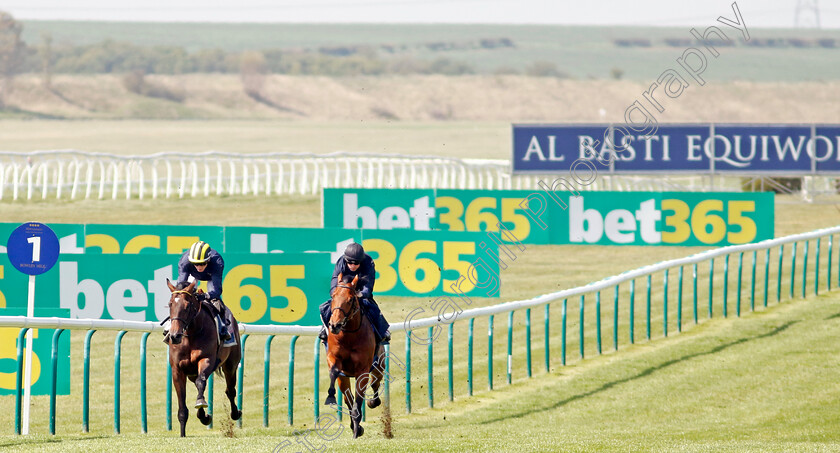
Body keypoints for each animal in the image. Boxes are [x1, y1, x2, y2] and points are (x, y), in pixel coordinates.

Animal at [166, 278, 241, 436]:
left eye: (187, 306)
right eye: (170, 304)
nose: (175, 336)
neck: (191, 335)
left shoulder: (206, 360)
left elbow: (201, 383)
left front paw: (201, 402)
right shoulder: (177, 370)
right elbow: (183, 408)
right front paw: (183, 434)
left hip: (230, 365)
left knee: (230, 390)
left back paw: (235, 413)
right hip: (191, 373)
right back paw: (204, 416)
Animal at [324, 274, 386, 436]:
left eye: (351, 299)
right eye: (333, 296)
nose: (335, 325)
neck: (349, 337)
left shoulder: (362, 370)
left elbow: (359, 399)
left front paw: (357, 428)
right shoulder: (335, 360)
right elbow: (334, 372)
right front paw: (330, 396)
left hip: (379, 365)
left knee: (375, 383)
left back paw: (373, 402)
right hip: (345, 378)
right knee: (348, 397)